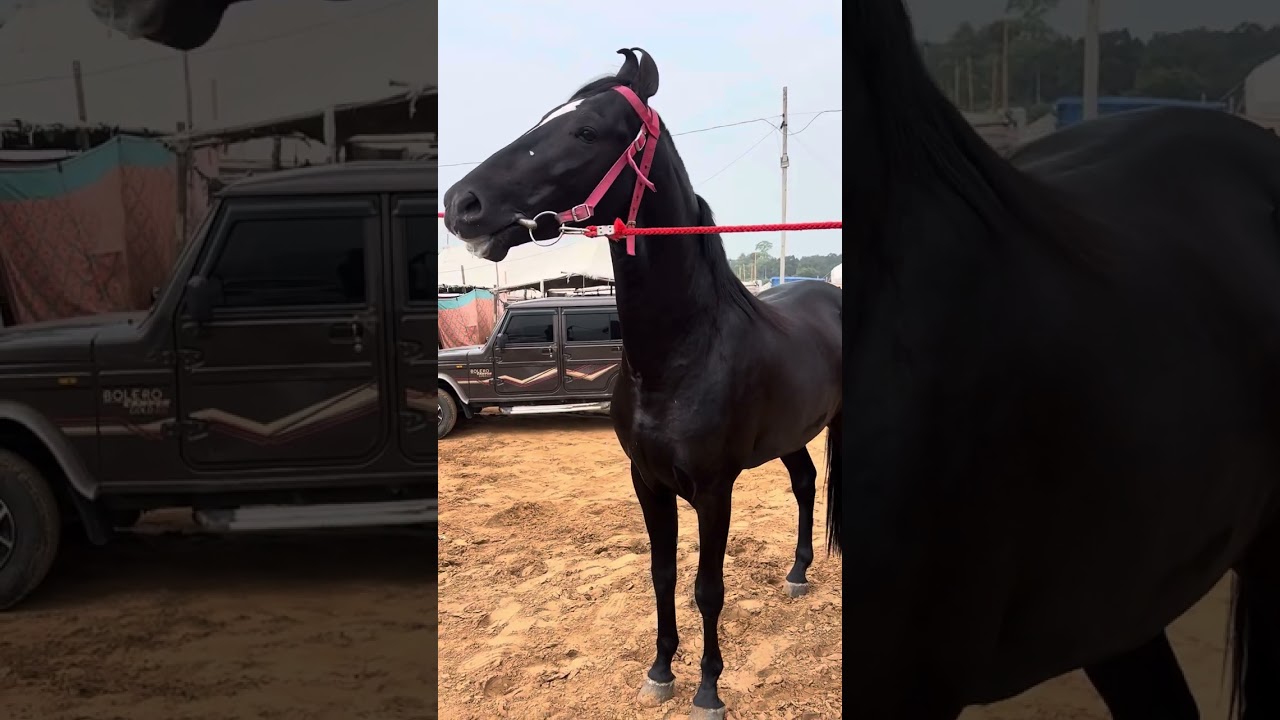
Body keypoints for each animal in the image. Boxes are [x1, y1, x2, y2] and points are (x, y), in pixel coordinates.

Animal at [443, 48, 843, 719]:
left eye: (585, 131)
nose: (461, 202)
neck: (679, 358)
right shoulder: (647, 482)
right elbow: (662, 575)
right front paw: (659, 670)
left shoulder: (713, 490)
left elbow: (708, 587)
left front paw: (708, 688)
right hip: (791, 436)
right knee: (807, 484)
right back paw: (797, 574)